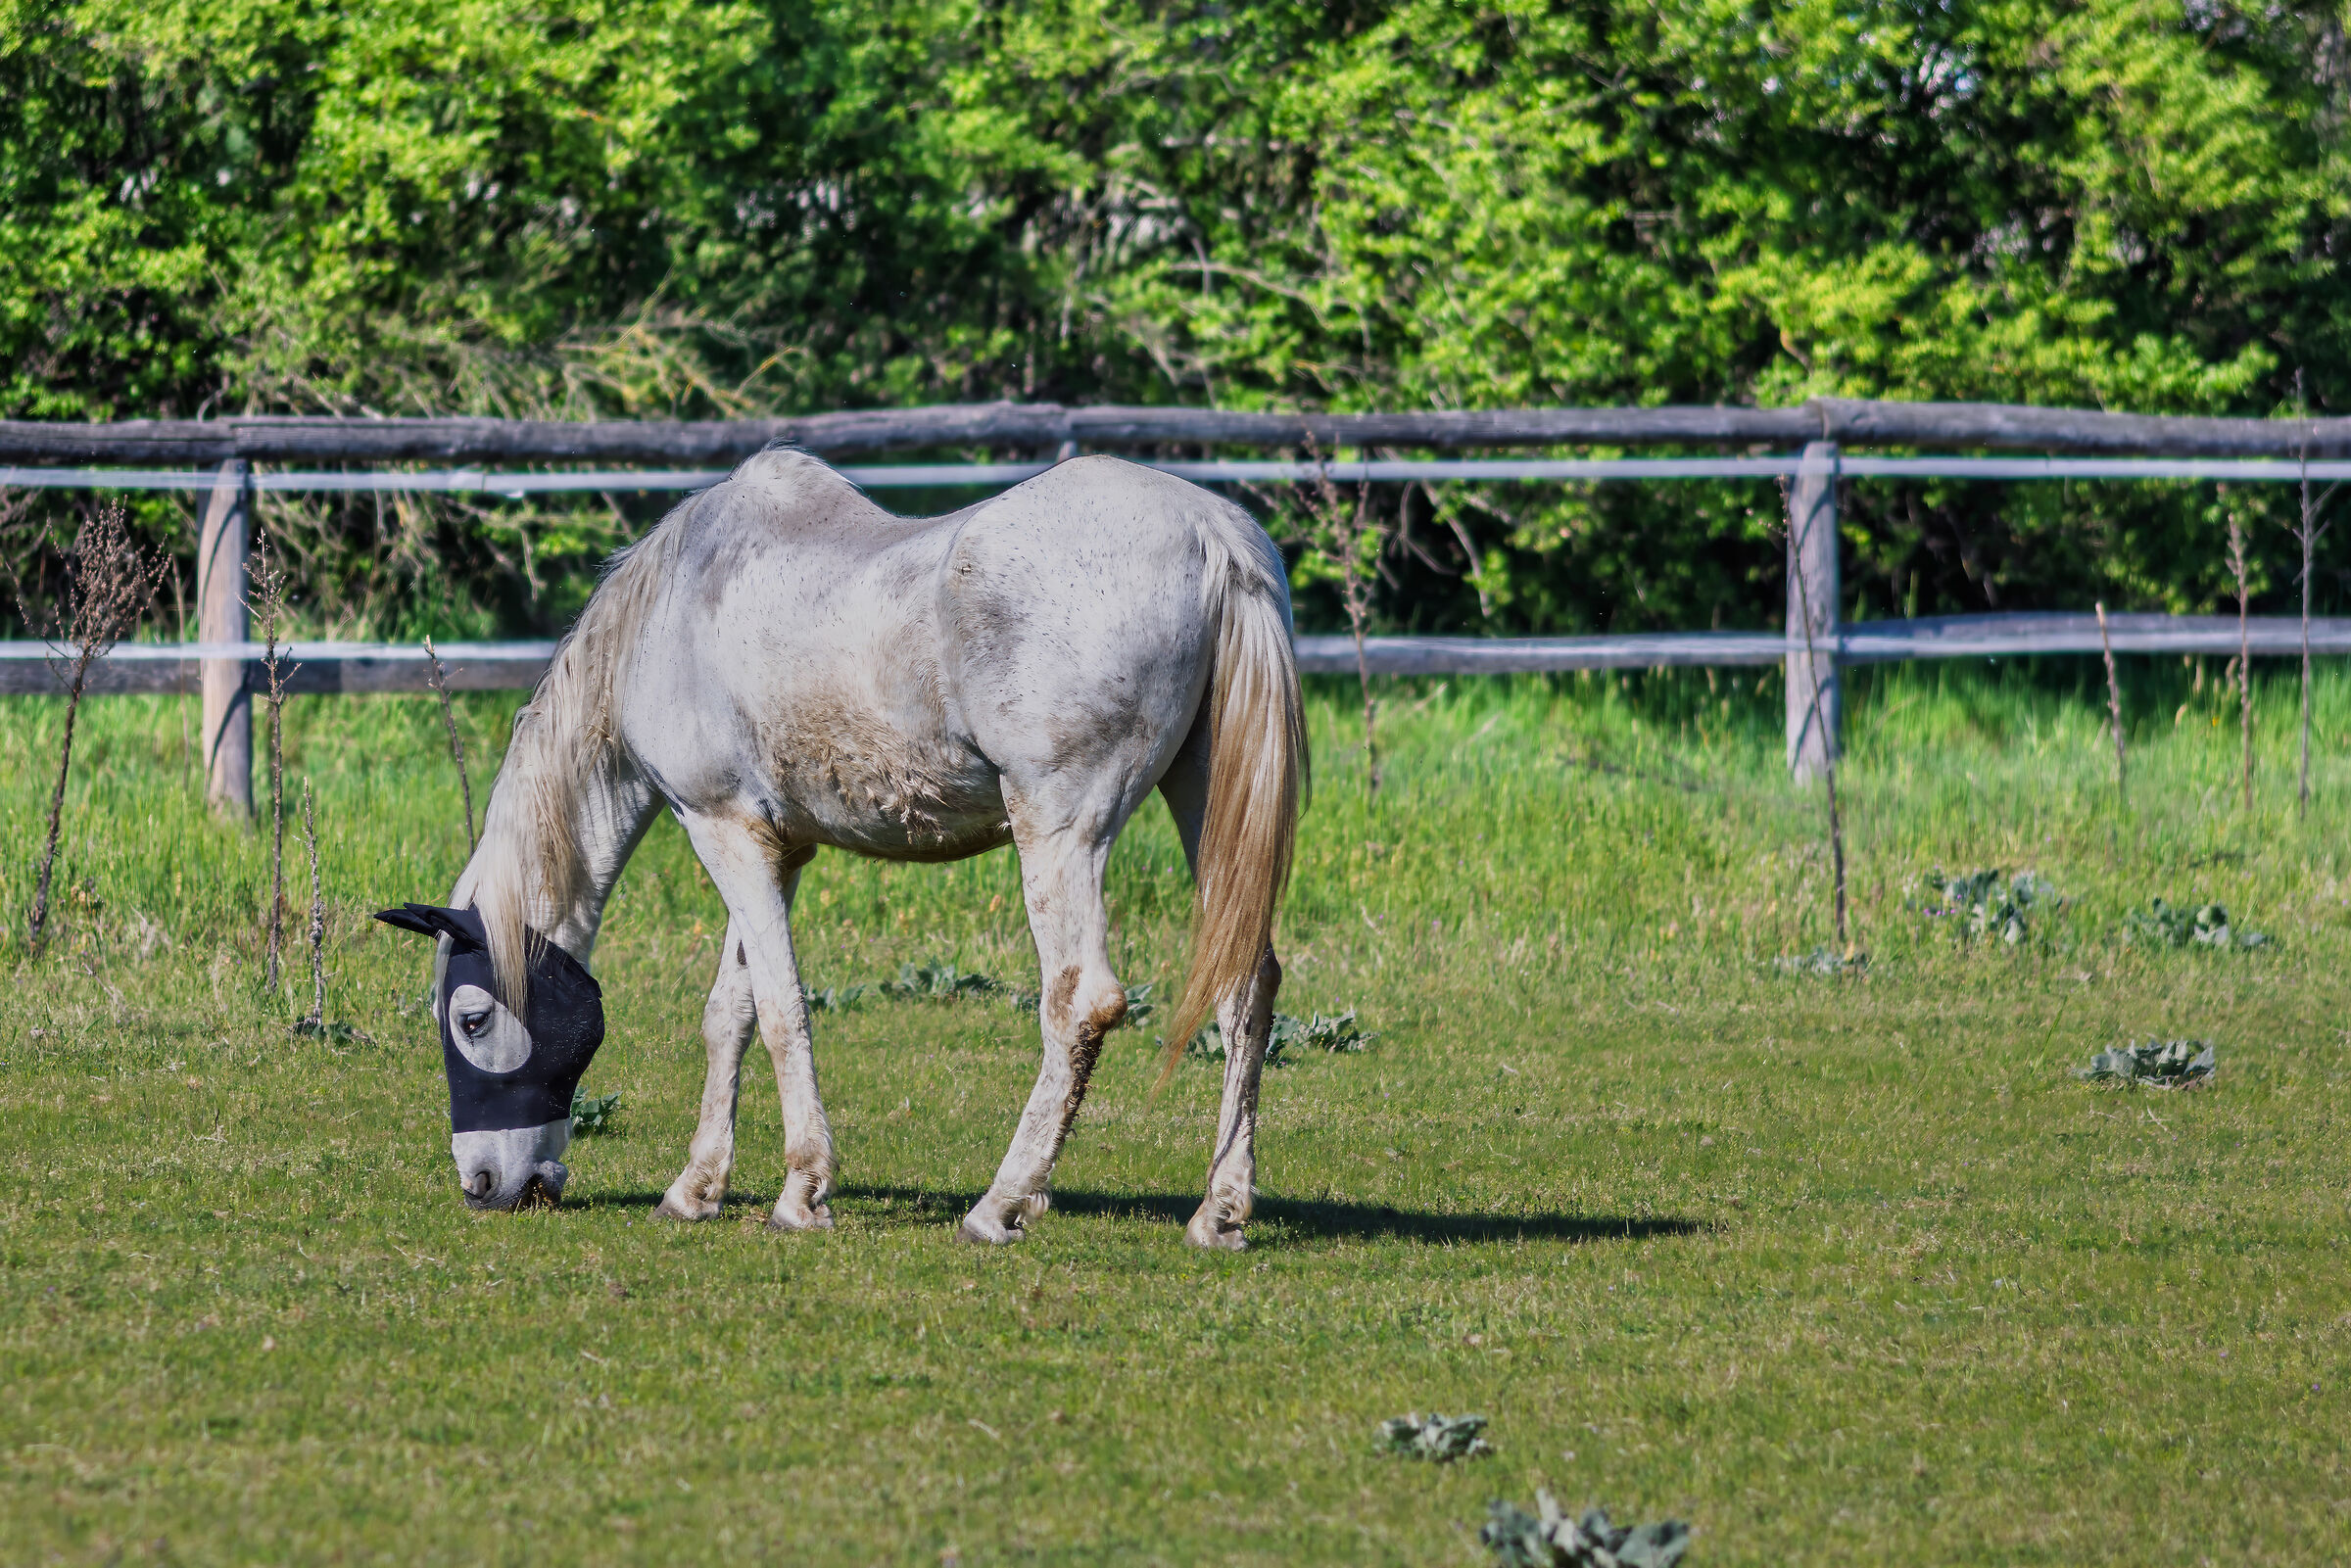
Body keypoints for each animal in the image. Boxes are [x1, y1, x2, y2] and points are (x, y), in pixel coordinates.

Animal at [375, 449, 1306, 1249]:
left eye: (470, 1018)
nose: (482, 1183)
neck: (673, 605)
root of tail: (1211, 533)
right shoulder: (775, 847)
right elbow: (731, 1012)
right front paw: (696, 1187)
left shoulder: (719, 827)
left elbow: (783, 1009)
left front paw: (800, 1192)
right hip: (1204, 801)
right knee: (1245, 985)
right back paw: (1220, 1210)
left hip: (1059, 831)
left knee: (1080, 1000)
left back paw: (999, 1204)